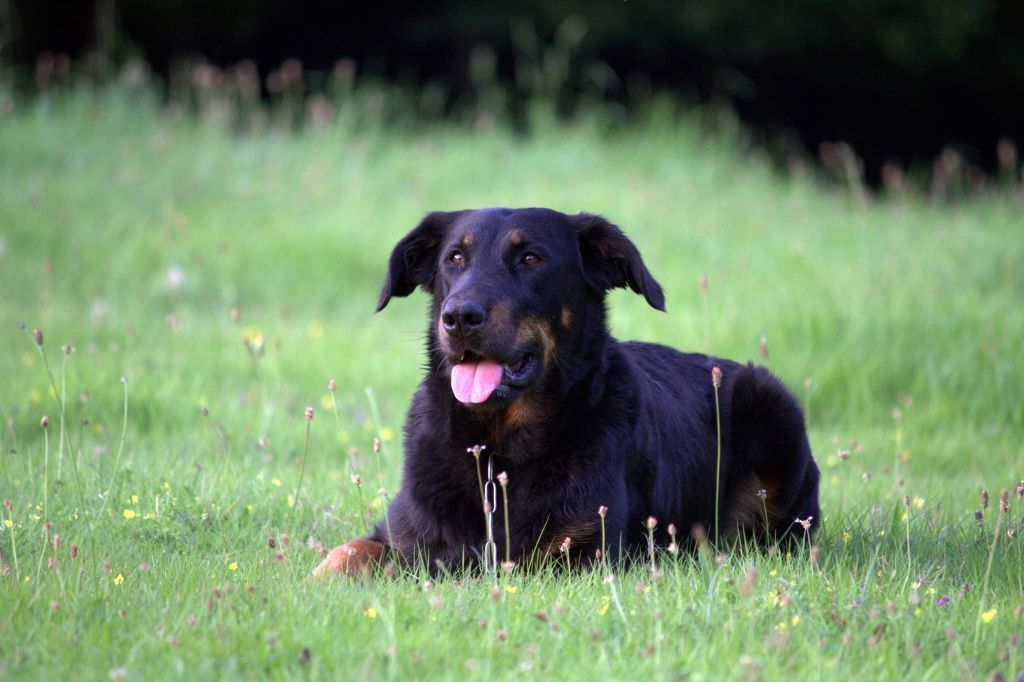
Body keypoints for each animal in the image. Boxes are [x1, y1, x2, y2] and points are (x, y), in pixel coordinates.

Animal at [315, 205, 819, 573]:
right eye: (454, 259)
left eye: (530, 258)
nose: (458, 316)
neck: (497, 450)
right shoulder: (403, 535)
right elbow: (347, 553)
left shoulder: (580, 555)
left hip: (771, 406)